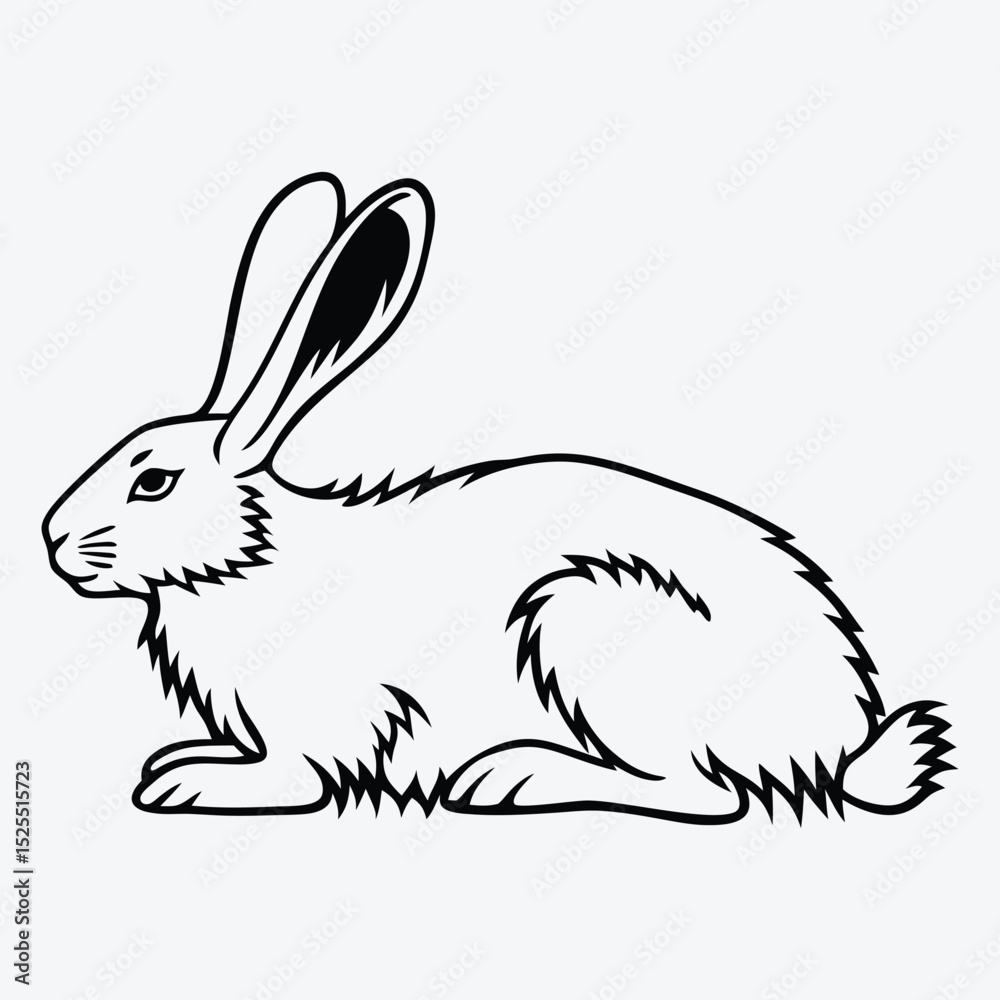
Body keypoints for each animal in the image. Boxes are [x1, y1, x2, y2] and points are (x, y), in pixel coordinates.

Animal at [41, 172, 953, 823]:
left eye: (152, 483)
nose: (52, 541)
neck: (253, 557)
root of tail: (832, 736)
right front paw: (176, 762)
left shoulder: (327, 721)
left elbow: (297, 775)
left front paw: (190, 783)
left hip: (580, 620)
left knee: (702, 793)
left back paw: (516, 775)